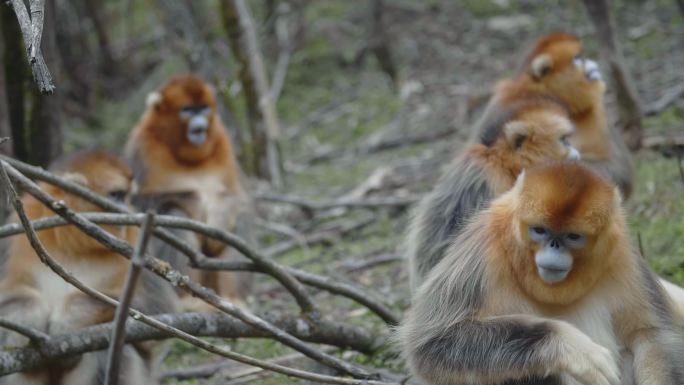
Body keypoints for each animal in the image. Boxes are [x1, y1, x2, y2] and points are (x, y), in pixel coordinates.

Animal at [0, 148, 176, 382]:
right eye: (116, 195)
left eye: (126, 197)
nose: (126, 210)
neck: (76, 246)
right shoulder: (17, 231)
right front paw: (29, 316)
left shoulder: (137, 241)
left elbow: (160, 309)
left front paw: (68, 321)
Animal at [123, 73, 254, 306]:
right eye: (187, 110)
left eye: (203, 108)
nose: (199, 122)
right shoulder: (141, 147)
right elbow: (139, 201)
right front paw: (195, 203)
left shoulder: (222, 139)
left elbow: (238, 196)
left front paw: (218, 215)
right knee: (175, 214)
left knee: (241, 217)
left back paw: (233, 298)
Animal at [398, 162, 680, 384]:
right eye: (540, 230)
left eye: (572, 236)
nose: (554, 246)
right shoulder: (484, 245)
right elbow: (432, 343)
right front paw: (571, 346)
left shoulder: (620, 252)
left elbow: (652, 334)